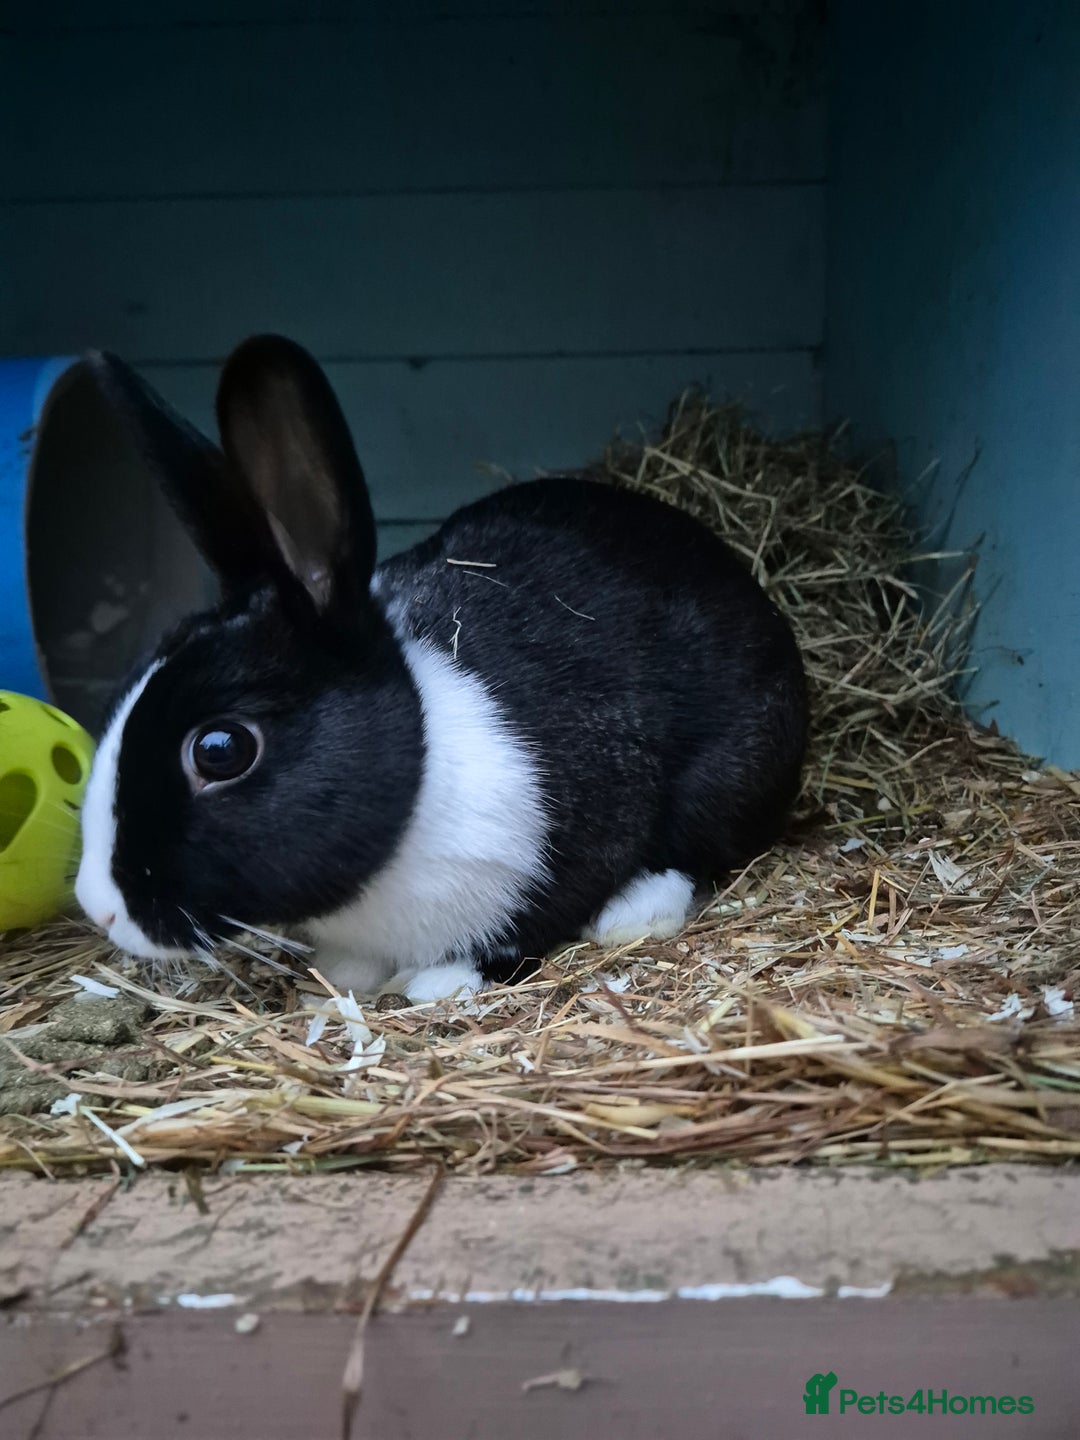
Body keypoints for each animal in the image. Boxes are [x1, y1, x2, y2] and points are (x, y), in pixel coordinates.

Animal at [75, 335, 808, 1003]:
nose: (98, 909)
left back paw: (634, 910)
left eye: (220, 750)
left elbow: (526, 927)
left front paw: (438, 981)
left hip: (736, 764)